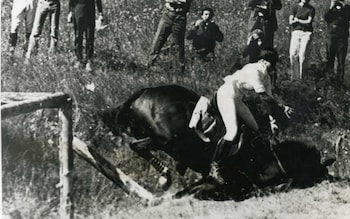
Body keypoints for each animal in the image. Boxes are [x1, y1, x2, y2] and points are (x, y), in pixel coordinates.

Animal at [100, 84, 334, 200]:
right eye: (316, 171)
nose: (329, 179)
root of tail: (146, 91)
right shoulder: (235, 184)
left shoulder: (210, 181)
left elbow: (190, 190)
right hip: (166, 139)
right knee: (140, 145)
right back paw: (166, 176)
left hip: (158, 138)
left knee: (136, 145)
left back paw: (165, 176)